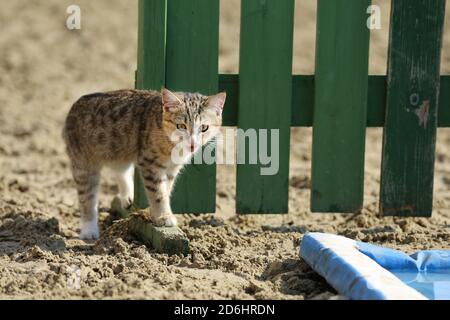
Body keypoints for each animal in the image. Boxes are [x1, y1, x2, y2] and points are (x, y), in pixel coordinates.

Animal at [62, 89, 225, 239]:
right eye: (181, 126)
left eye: (204, 127)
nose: (192, 143)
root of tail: (74, 106)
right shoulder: (150, 163)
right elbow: (158, 193)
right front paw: (163, 216)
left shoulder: (172, 168)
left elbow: (166, 189)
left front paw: (155, 212)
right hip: (83, 162)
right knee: (87, 196)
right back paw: (89, 230)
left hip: (120, 149)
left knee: (120, 169)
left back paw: (127, 195)